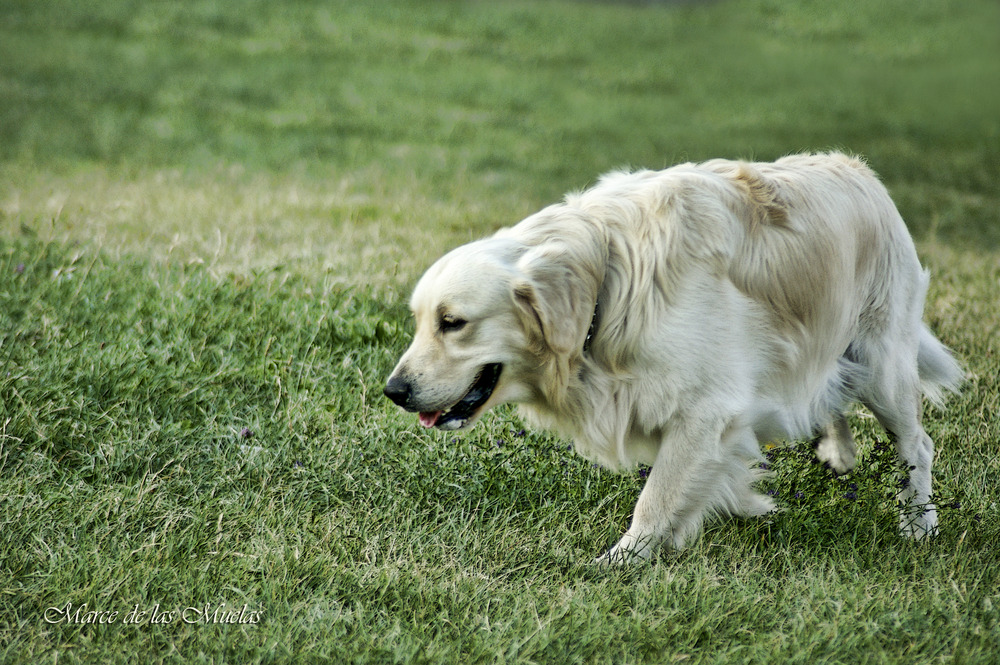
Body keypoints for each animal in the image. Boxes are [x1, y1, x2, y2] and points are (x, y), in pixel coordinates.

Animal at [382, 153, 960, 564]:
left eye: (452, 322)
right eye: (419, 320)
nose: (394, 391)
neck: (606, 286)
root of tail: (865, 173)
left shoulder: (707, 407)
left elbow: (657, 495)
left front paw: (620, 562)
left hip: (882, 364)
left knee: (917, 445)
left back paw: (919, 525)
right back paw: (838, 450)